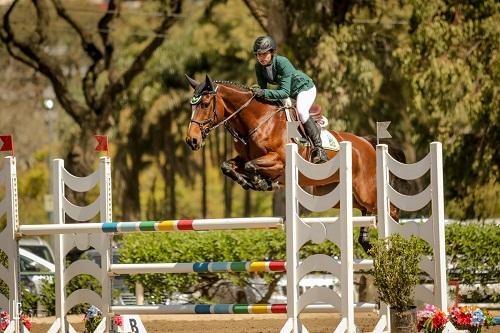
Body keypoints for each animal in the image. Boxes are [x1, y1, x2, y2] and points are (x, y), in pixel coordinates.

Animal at [186, 74, 404, 250]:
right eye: (191, 105)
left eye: (205, 104)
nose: (191, 140)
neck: (258, 120)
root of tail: (367, 144)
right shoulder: (242, 158)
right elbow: (227, 166)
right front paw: (248, 182)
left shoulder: (279, 161)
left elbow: (252, 166)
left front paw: (261, 182)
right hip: (342, 195)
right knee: (368, 211)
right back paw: (366, 241)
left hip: (366, 190)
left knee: (389, 209)